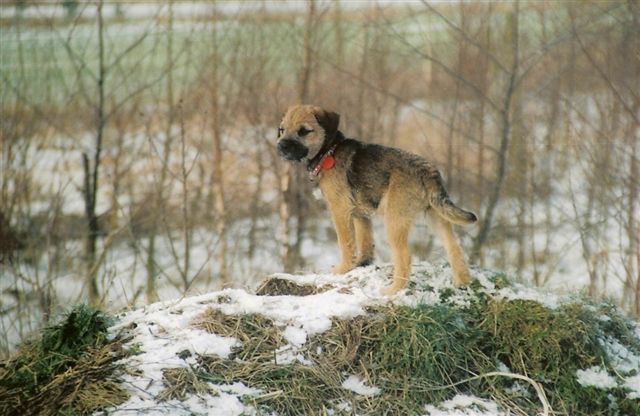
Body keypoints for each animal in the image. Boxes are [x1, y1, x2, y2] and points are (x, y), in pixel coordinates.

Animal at [276, 104, 476, 294]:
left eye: (304, 131)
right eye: (282, 129)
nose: (281, 146)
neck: (329, 151)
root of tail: (427, 171)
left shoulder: (340, 210)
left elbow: (345, 243)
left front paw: (342, 270)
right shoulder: (360, 215)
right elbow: (365, 240)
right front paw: (362, 264)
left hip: (395, 221)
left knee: (404, 257)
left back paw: (393, 291)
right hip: (436, 216)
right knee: (454, 247)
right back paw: (462, 283)